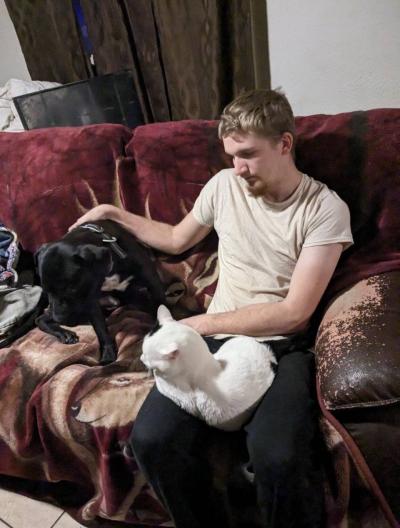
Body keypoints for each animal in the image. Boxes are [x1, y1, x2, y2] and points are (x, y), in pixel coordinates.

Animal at [35, 221, 165, 366]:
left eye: (71, 288)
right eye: (45, 290)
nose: (59, 319)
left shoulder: (152, 281)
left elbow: (163, 305)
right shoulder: (91, 301)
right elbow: (100, 328)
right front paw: (107, 353)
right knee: (40, 319)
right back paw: (65, 333)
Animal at [141, 306, 278, 434]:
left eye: (146, 356)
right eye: (142, 352)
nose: (141, 358)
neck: (206, 364)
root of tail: (267, 354)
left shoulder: (185, 399)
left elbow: (161, 382)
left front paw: (155, 373)